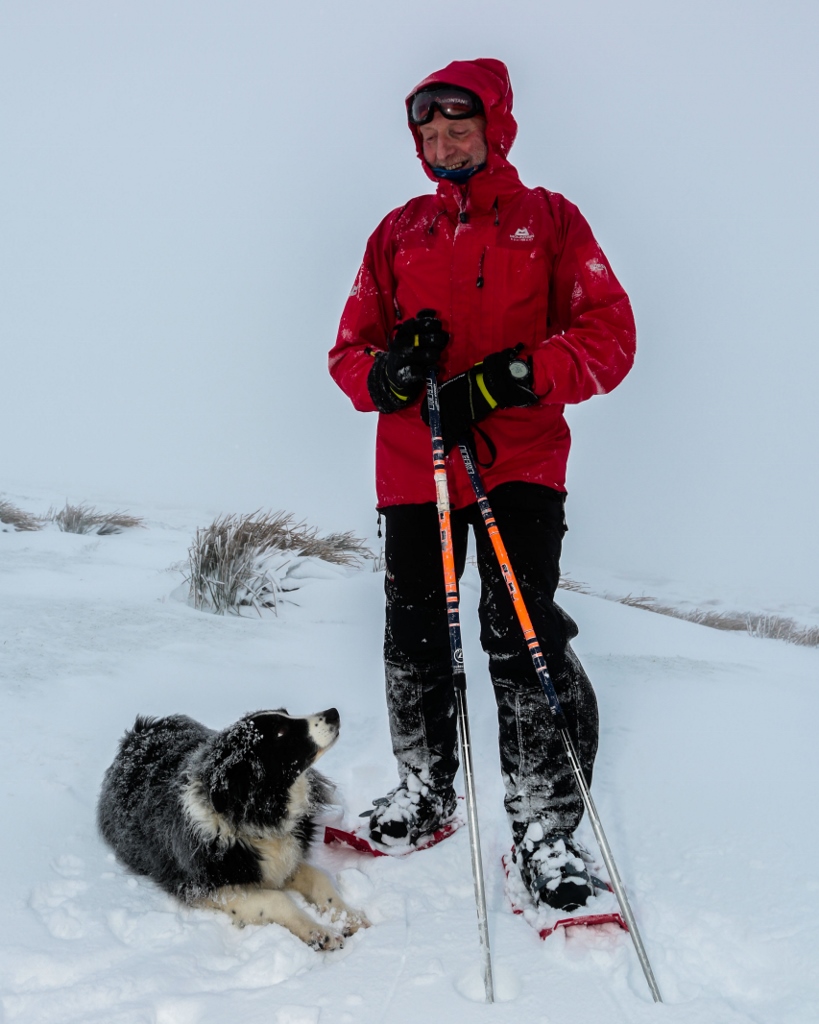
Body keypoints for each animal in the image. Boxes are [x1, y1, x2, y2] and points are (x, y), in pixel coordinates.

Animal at [97, 707, 368, 949]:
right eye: (280, 732)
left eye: (286, 712)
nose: (333, 712)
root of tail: (139, 734)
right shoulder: (202, 885)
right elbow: (276, 899)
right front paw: (319, 932)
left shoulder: (279, 863)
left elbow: (318, 878)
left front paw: (351, 917)